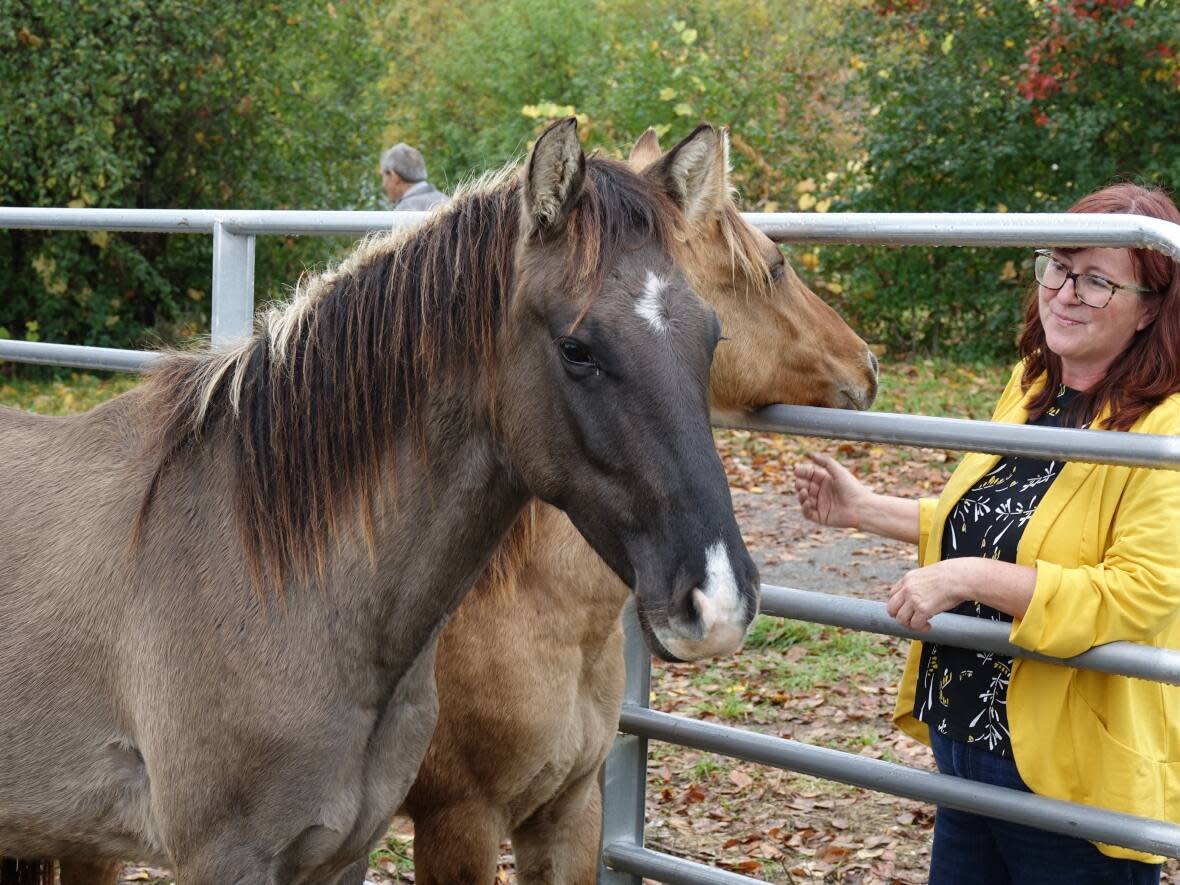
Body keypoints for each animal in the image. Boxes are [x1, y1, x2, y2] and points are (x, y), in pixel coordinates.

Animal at [0, 123, 759, 885]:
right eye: (577, 349)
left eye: (713, 336)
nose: (718, 600)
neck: (274, 581)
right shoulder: (228, 858)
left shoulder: (345, 853)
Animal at [394, 128, 877, 882]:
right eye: (773, 268)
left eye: (710, 334)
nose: (866, 362)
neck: (538, 607)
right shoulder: (457, 824)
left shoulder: (571, 806)